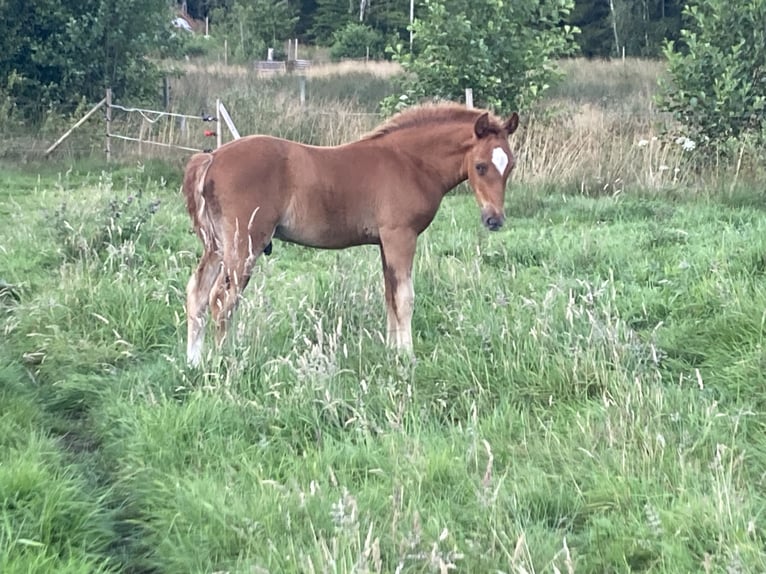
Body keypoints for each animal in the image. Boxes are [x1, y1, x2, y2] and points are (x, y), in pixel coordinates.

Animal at [182, 102, 520, 366]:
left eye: (511, 166)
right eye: (480, 166)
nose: (494, 219)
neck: (410, 162)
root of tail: (211, 158)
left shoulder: (386, 242)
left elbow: (389, 295)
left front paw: (391, 352)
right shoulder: (401, 236)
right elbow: (405, 297)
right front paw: (407, 357)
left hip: (217, 246)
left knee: (197, 295)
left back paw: (193, 363)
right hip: (245, 244)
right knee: (221, 299)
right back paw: (226, 362)